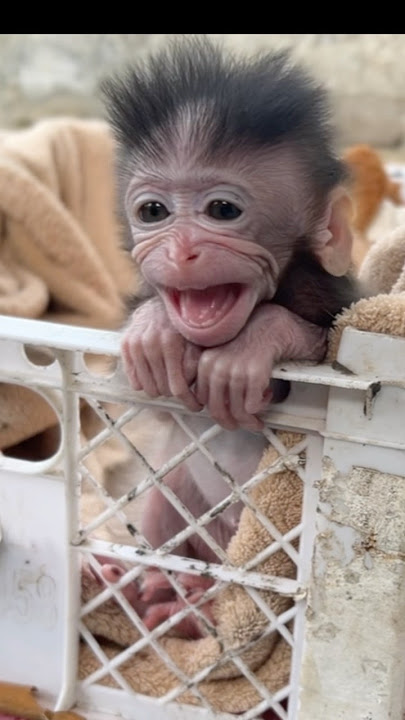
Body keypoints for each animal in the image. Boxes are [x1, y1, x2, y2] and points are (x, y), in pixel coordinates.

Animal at [93, 36, 364, 638]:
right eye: (154, 212)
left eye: (222, 211)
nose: (181, 250)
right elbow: (155, 405)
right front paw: (152, 329)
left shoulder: (336, 295)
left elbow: (331, 347)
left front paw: (256, 342)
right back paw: (155, 586)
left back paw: (192, 607)